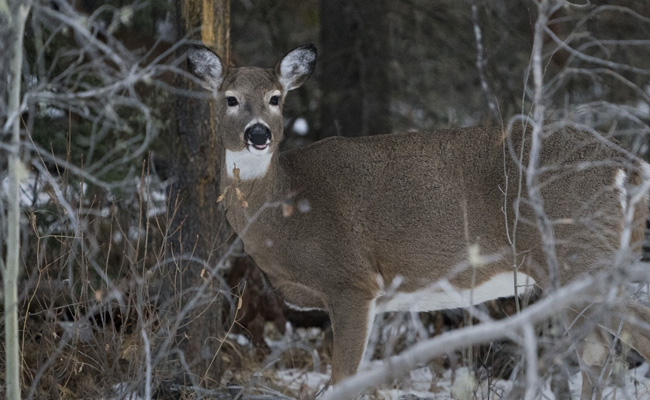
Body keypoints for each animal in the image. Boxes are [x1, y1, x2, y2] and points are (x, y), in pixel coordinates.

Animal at [186, 44, 650, 399]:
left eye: (276, 98)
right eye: (230, 98)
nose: (258, 134)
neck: (287, 209)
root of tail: (631, 167)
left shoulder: (351, 281)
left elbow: (344, 382)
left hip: (581, 256)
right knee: (596, 357)